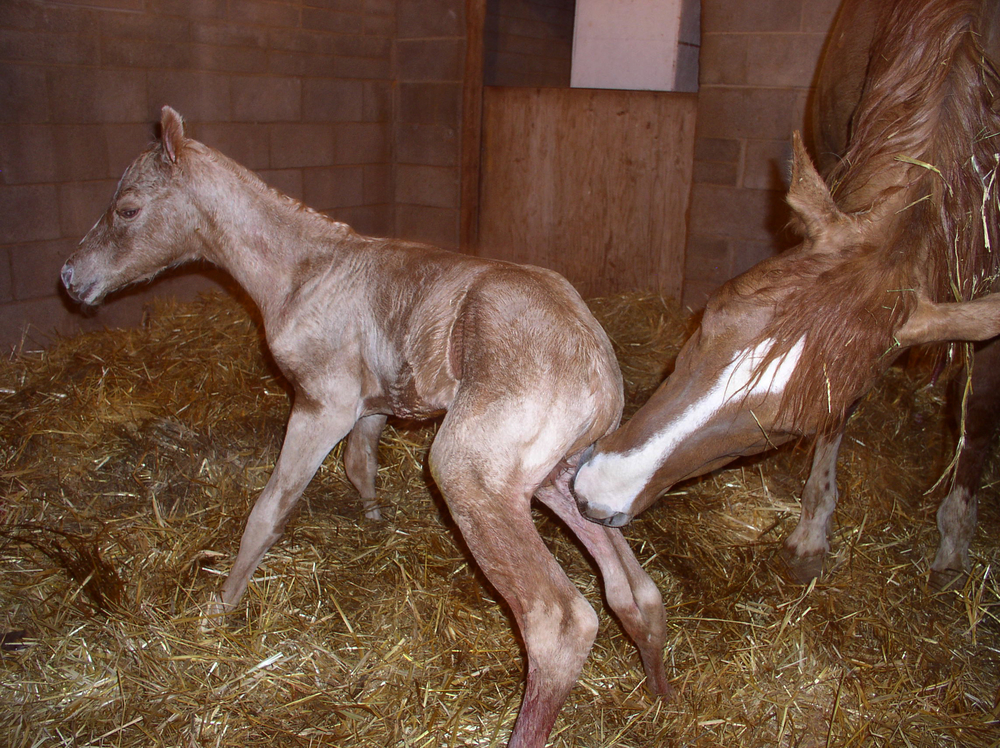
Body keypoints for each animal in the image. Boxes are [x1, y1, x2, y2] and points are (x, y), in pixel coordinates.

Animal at [60, 106, 670, 748]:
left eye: (128, 208)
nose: (70, 278)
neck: (302, 270)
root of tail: (599, 368)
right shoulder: (373, 404)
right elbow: (360, 464)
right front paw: (376, 523)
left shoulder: (321, 402)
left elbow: (270, 508)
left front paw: (219, 609)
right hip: (560, 475)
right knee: (636, 592)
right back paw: (660, 698)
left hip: (472, 474)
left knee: (560, 621)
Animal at [572, 0, 1000, 590]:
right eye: (707, 320)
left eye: (788, 426)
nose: (595, 495)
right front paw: (812, 532)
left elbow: (976, 417)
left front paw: (954, 543)